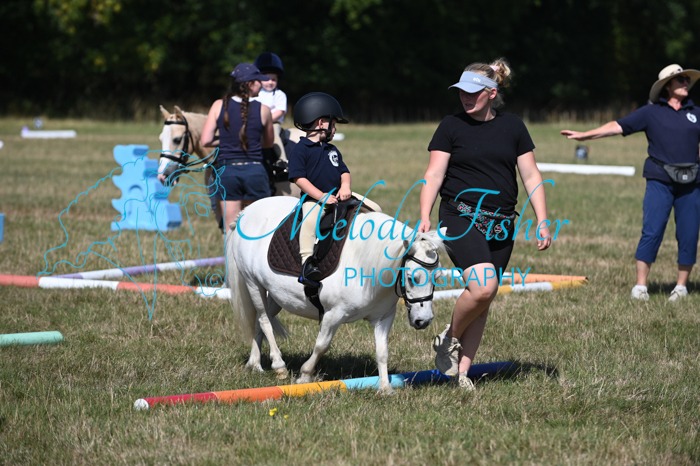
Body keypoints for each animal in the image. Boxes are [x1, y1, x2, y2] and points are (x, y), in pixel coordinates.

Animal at [225, 196, 447, 394]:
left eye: (437, 277)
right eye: (411, 278)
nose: (423, 320)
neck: (364, 263)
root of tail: (246, 212)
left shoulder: (384, 317)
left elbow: (382, 351)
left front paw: (385, 388)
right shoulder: (333, 315)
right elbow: (321, 345)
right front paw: (304, 376)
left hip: (275, 293)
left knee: (260, 320)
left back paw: (255, 363)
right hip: (253, 284)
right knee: (264, 320)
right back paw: (278, 365)